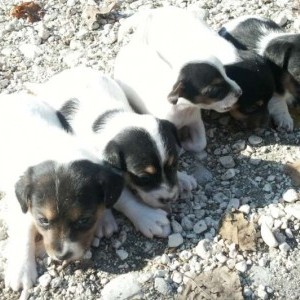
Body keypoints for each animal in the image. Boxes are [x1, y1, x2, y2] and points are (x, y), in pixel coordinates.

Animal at [0, 92, 124, 292]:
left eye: (84, 220)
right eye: (43, 220)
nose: (62, 256)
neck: (58, 150)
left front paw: (105, 219)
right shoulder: (17, 205)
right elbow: (23, 230)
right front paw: (21, 270)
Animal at [25, 67, 198, 240]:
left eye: (174, 164)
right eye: (144, 178)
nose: (169, 199)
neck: (114, 120)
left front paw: (182, 177)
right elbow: (123, 198)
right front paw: (148, 217)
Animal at [113, 6, 243, 152]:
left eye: (226, 73)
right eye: (214, 91)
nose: (240, 92)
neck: (183, 110)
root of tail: (135, 43)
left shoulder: (195, 121)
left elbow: (200, 144)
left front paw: (185, 143)